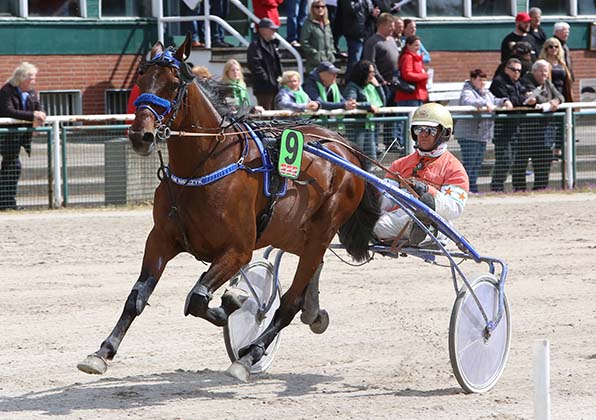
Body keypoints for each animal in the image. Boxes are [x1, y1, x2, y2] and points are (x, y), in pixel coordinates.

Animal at [77, 33, 380, 380]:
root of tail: (345, 147)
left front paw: (230, 305)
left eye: (172, 85)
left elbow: (197, 298)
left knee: (289, 302)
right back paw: (311, 313)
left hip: (322, 229)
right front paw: (102, 352)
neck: (202, 168)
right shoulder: (161, 240)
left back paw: (250, 355)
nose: (141, 135)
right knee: (311, 271)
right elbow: (136, 297)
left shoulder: (237, 250)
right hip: (294, 232)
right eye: (141, 80)